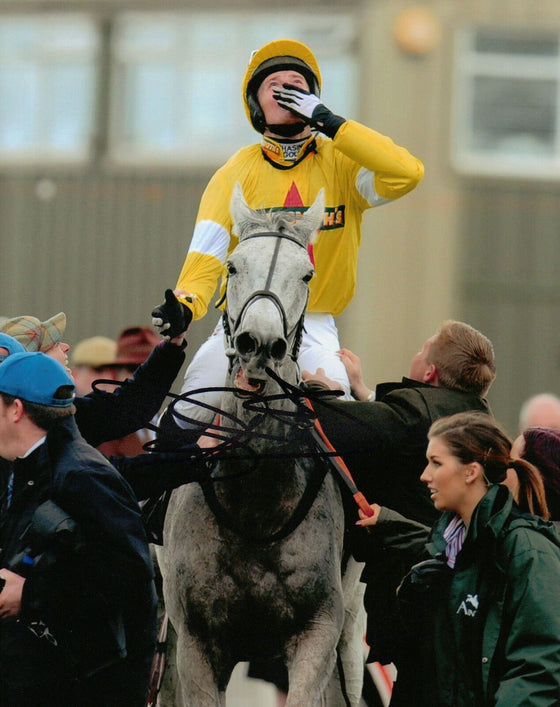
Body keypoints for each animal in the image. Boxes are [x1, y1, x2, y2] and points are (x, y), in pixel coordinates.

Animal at [160, 184, 366, 707]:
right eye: (233, 266)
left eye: (307, 273)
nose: (260, 343)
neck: (255, 504)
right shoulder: (194, 640)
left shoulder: (318, 630)